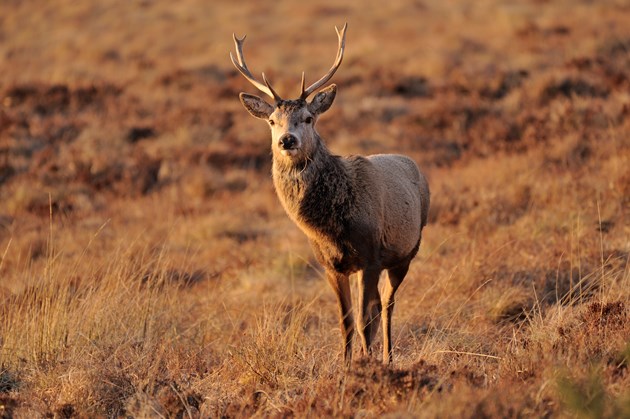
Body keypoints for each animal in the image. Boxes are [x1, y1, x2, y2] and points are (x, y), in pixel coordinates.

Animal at [230, 23, 432, 364]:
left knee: (387, 306)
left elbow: (364, 320)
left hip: (407, 252)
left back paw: (388, 357)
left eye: (308, 118)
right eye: (272, 121)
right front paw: (346, 365)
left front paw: (366, 364)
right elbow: (346, 321)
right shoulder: (330, 264)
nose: (287, 140)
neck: (331, 227)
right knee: (377, 307)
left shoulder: (371, 255)